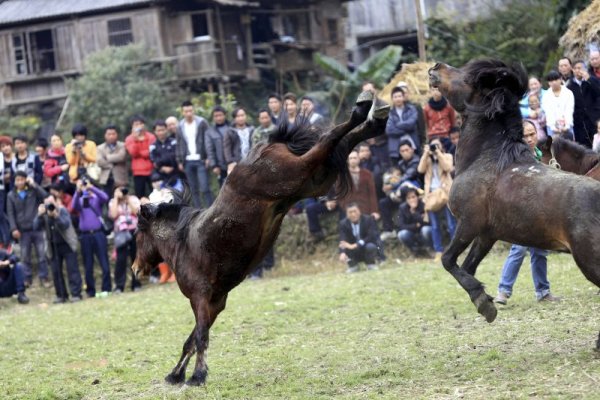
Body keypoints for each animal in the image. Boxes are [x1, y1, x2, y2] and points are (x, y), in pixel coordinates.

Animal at [132, 90, 390, 384]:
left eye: (138, 234)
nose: (135, 269)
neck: (183, 243)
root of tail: (269, 144)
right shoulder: (215, 302)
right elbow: (192, 339)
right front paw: (176, 374)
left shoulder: (201, 298)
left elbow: (200, 337)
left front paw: (197, 375)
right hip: (317, 179)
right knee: (342, 144)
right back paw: (375, 118)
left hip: (298, 174)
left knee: (327, 141)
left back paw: (363, 108)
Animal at [428, 58, 596, 350]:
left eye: (467, 77)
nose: (435, 66)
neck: (486, 159)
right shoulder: (487, 233)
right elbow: (468, 266)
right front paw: (484, 299)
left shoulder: (468, 223)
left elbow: (448, 260)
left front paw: (484, 304)